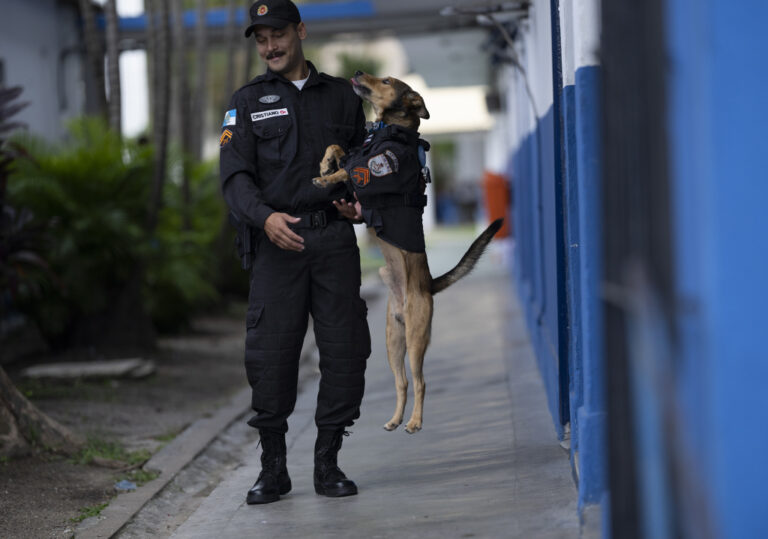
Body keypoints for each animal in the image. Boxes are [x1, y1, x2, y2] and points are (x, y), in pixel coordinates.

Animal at [314, 73, 504, 434]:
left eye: (387, 80)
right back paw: (395, 418)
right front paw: (325, 162)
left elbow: (353, 168)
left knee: (420, 381)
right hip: (392, 341)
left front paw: (328, 176)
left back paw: (415, 422)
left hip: (416, 340)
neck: (385, 130)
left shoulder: (374, 171)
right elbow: (340, 149)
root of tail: (428, 285)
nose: (357, 73)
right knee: (401, 382)